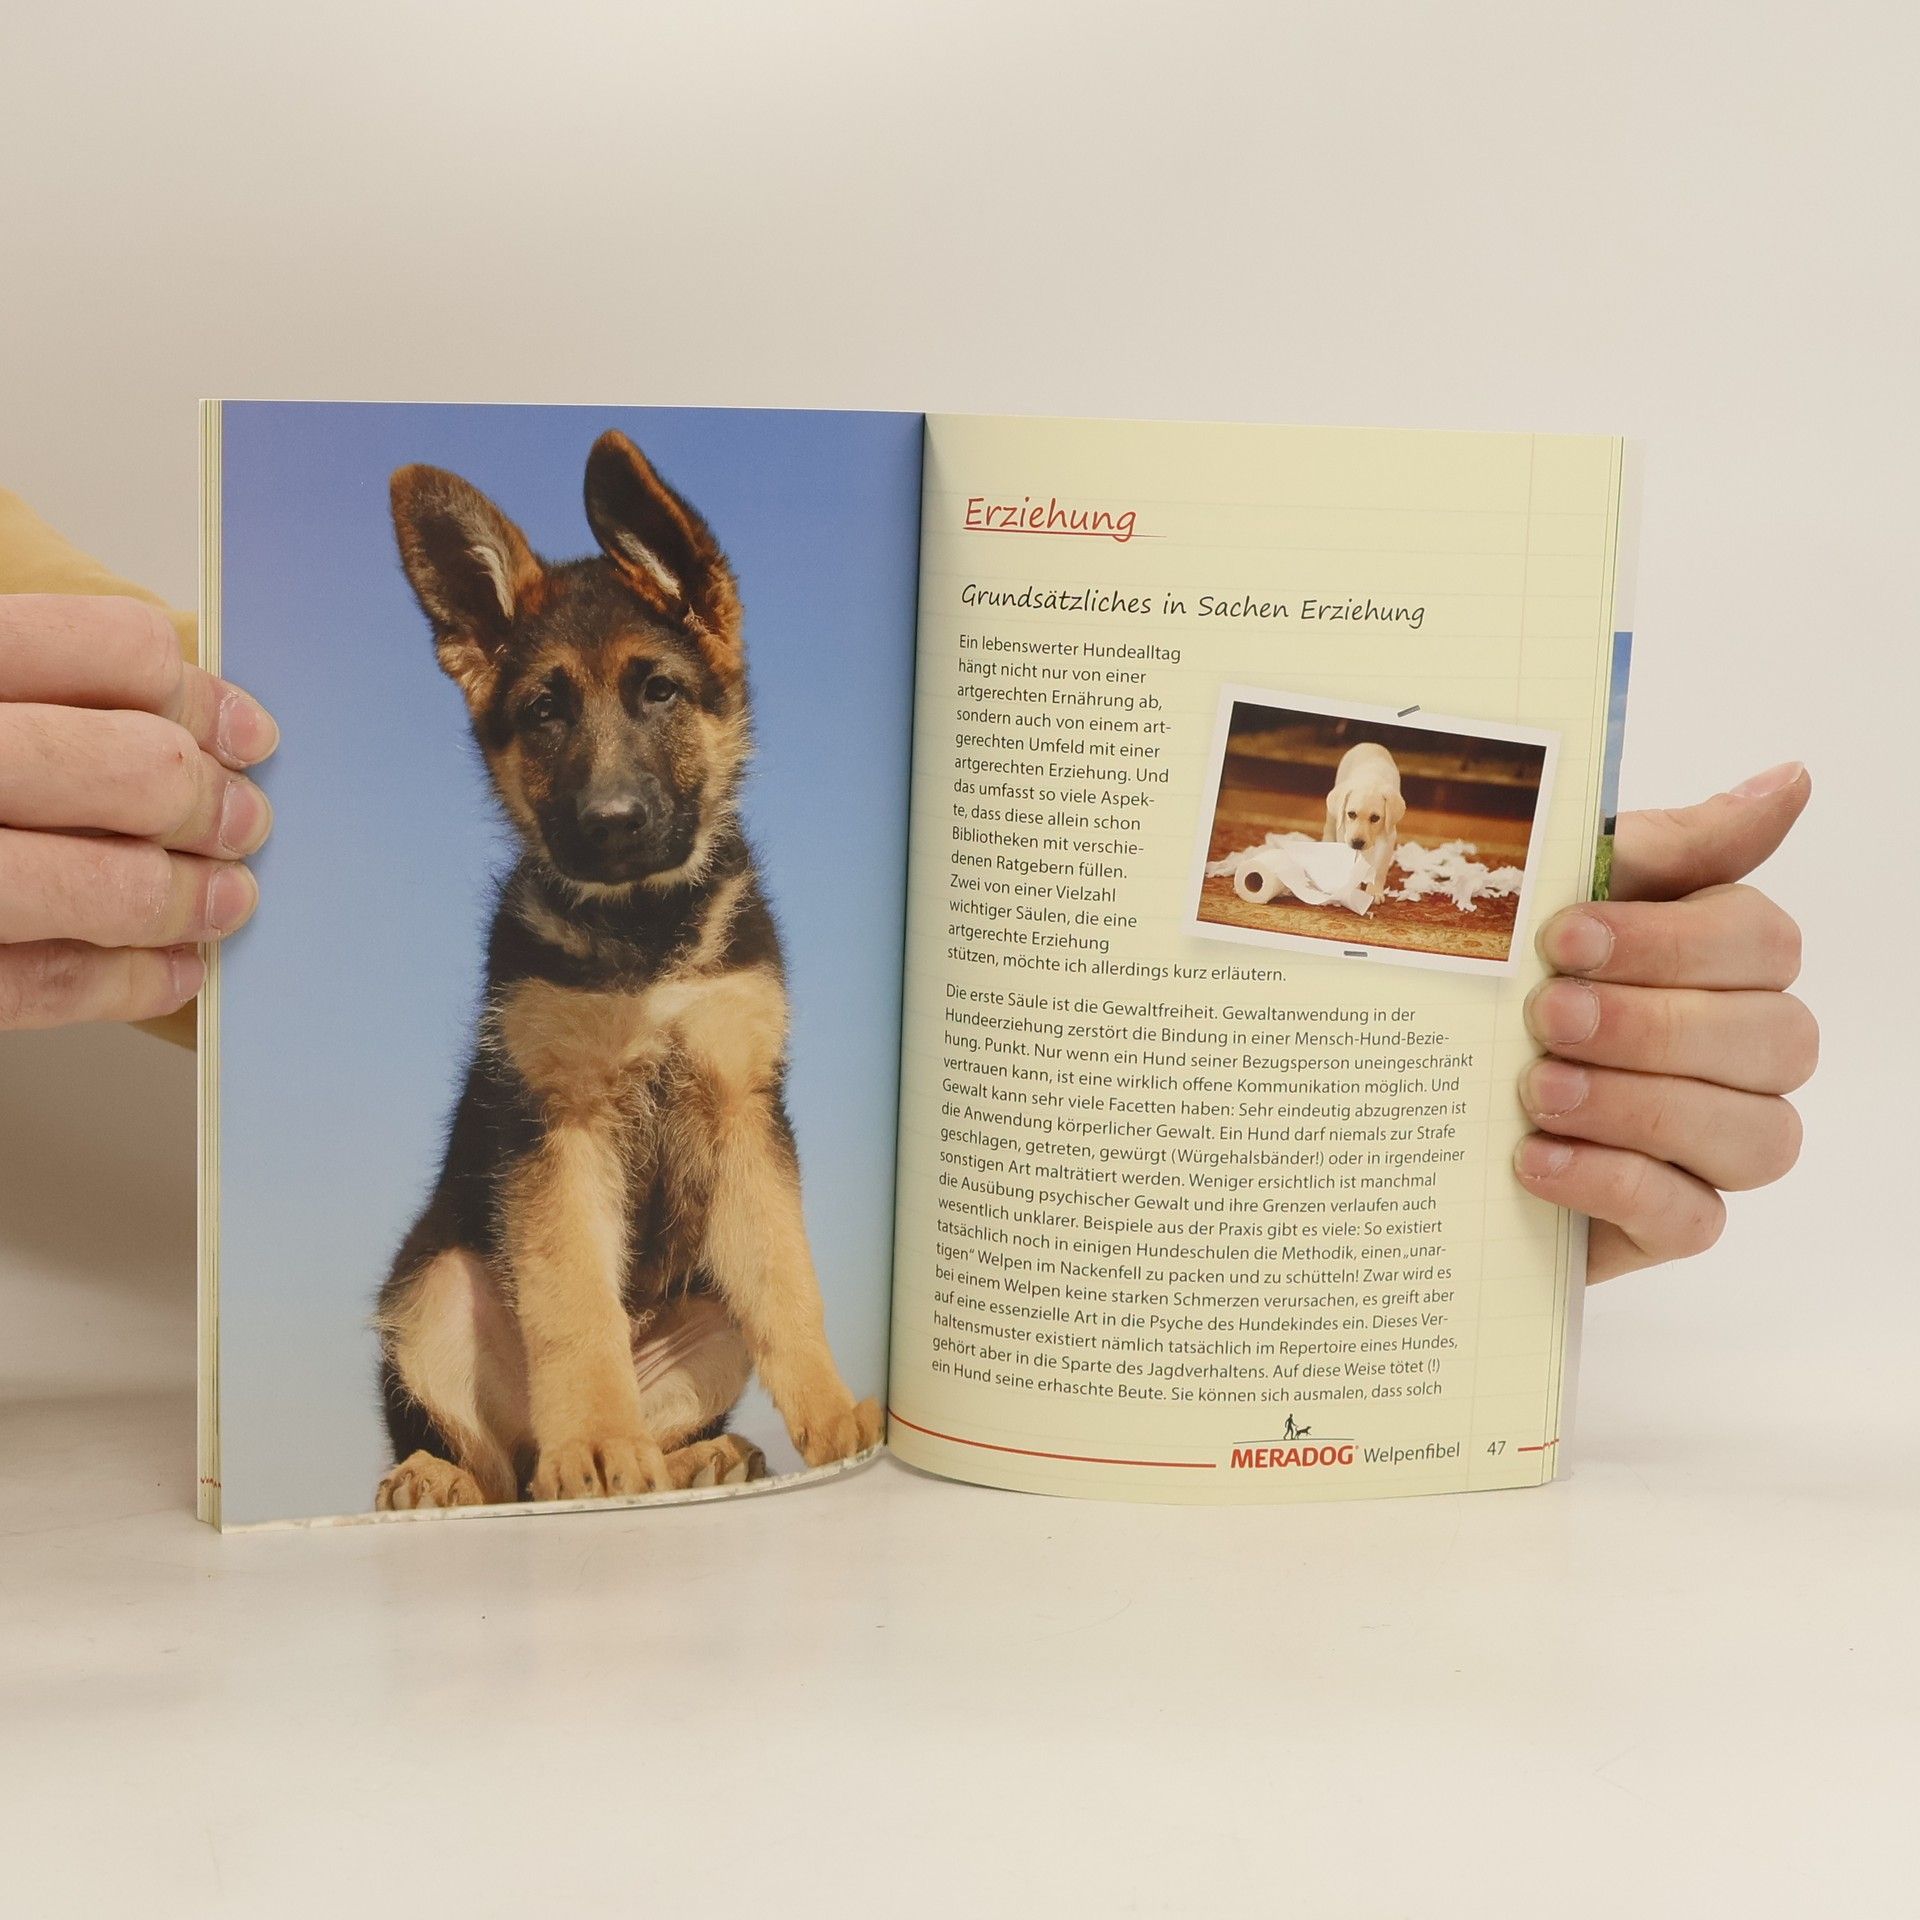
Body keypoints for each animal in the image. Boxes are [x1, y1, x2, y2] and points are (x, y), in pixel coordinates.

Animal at [372, 430, 882, 1511]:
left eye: (659, 691)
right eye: (544, 712)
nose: (610, 824)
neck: (647, 935)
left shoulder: (743, 1110)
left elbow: (791, 1287)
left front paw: (833, 1420)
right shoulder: (556, 1129)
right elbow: (574, 1305)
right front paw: (598, 1443)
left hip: (708, 1314)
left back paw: (695, 1457)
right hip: (433, 1290)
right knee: (498, 1466)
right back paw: (459, 1474)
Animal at [1323, 740, 1406, 903]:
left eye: (1375, 818)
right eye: (1351, 814)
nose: (1357, 843)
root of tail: (1369, 743)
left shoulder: (1388, 837)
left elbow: (1379, 868)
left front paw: (1374, 892)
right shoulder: (1344, 833)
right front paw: (1352, 889)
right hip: (1333, 813)